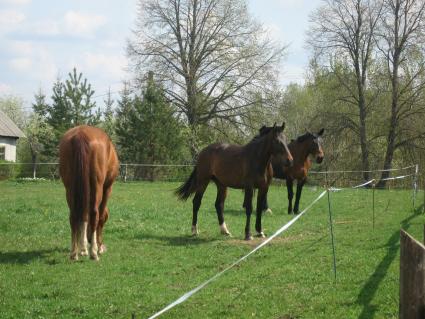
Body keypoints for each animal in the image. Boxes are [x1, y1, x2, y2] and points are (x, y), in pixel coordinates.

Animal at [58, 126, 118, 262]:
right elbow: (99, 216)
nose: (102, 246)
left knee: (73, 216)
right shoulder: (107, 188)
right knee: (95, 214)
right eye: (107, 220)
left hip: (70, 187)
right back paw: (94, 253)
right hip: (97, 185)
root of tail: (81, 134)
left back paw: (74, 253)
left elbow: (84, 216)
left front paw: (82, 248)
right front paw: (97, 248)